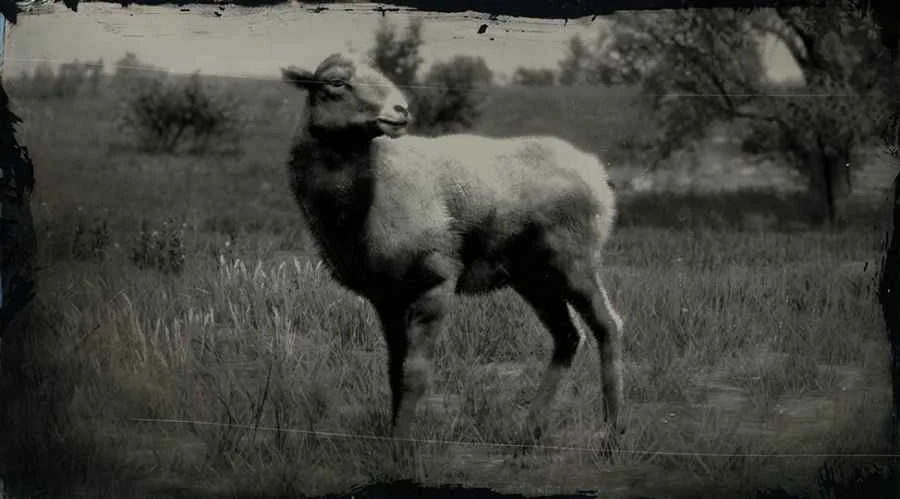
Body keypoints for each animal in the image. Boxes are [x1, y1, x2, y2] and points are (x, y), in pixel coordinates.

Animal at [280, 52, 625, 450]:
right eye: (335, 82)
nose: (400, 110)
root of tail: (595, 171)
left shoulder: (435, 281)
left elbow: (414, 373)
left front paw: (400, 447)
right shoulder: (387, 298)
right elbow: (393, 370)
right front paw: (391, 438)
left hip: (575, 263)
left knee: (607, 326)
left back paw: (611, 435)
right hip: (534, 276)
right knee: (568, 337)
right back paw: (529, 432)